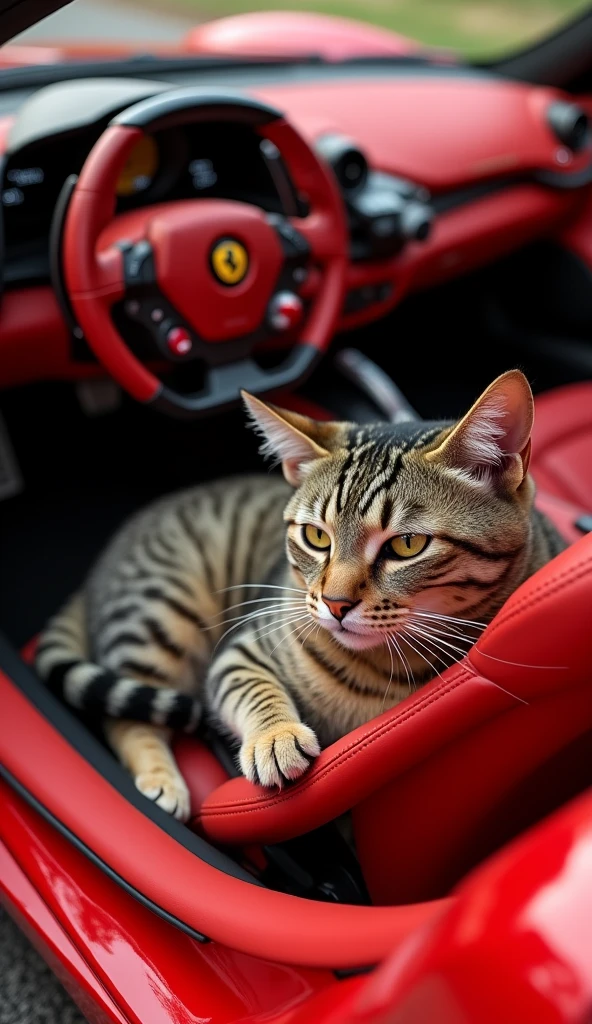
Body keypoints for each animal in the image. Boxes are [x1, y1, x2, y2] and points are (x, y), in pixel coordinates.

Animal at [35, 372, 561, 819]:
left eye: (407, 545)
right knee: (121, 714)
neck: (387, 667)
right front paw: (276, 735)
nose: (335, 604)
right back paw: (161, 779)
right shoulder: (241, 648)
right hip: (160, 613)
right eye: (316, 537)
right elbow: (251, 686)